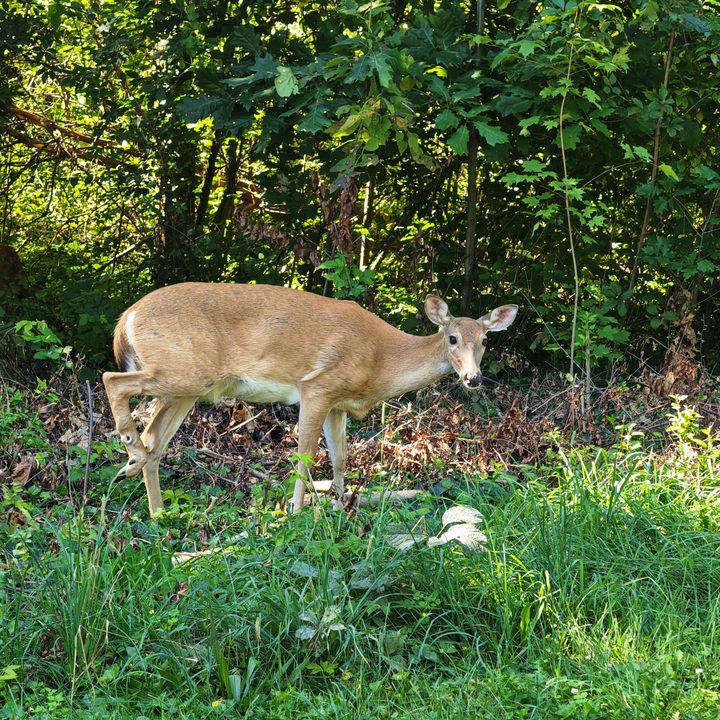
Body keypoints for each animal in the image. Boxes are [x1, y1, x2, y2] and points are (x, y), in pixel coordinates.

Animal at [102, 283, 518, 515]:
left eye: (485, 340)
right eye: (452, 338)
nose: (473, 378)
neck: (381, 359)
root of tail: (126, 317)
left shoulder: (338, 403)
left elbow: (340, 458)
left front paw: (340, 507)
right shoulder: (317, 387)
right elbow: (304, 456)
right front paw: (297, 512)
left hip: (185, 387)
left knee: (156, 442)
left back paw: (157, 511)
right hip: (184, 372)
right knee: (113, 381)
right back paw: (130, 453)